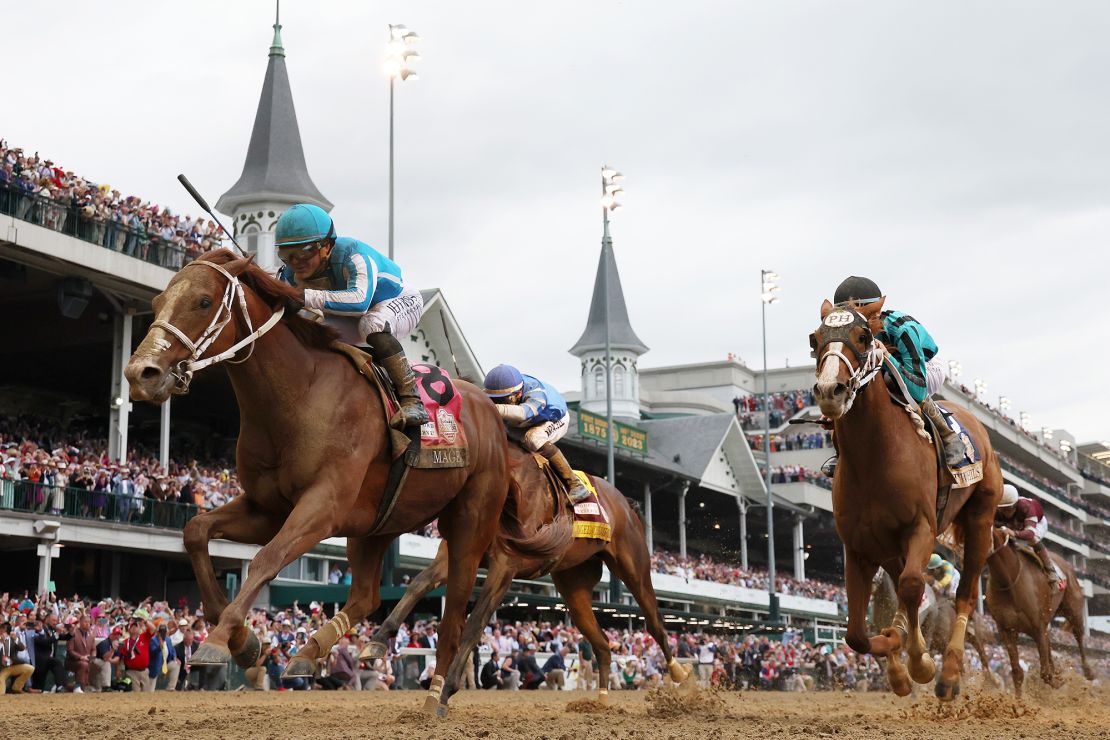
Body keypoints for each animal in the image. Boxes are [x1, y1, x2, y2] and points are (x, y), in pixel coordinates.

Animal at [125, 251, 568, 714]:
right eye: (156, 303)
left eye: (204, 301)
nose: (141, 373)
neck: (299, 395)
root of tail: (494, 417)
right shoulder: (267, 509)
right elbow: (196, 531)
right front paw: (244, 642)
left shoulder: (324, 507)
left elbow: (267, 558)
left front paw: (218, 640)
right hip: (377, 524)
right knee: (367, 596)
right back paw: (314, 651)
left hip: (469, 523)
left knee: (458, 608)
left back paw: (436, 694)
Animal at [359, 454, 683, 714]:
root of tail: (625, 503)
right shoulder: (455, 554)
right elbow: (418, 584)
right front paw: (376, 641)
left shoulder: (505, 565)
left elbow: (475, 622)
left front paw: (446, 690)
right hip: (574, 584)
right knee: (602, 644)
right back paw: (600, 702)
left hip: (634, 567)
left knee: (655, 623)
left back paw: (681, 678)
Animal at [808, 297, 1007, 705]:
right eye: (814, 339)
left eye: (863, 336)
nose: (830, 390)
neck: (874, 458)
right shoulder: (859, 547)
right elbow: (857, 634)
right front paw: (898, 665)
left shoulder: (921, 529)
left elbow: (914, 587)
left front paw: (921, 664)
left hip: (980, 520)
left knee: (965, 595)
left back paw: (949, 674)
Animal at [985, 525, 1096, 696]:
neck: (1008, 580)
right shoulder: (1006, 630)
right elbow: (1017, 672)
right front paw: (1018, 701)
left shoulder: (1037, 627)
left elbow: (1045, 673)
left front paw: (1058, 682)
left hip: (1073, 610)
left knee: (1079, 636)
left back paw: (1088, 671)